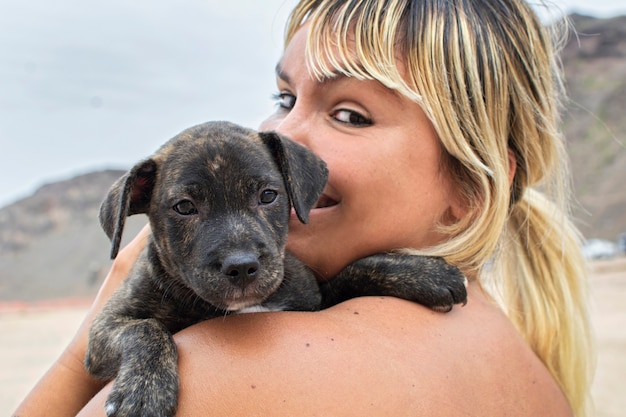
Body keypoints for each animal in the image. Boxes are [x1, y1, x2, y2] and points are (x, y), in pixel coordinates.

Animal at [85, 120, 464, 416]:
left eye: (268, 195)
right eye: (184, 207)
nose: (241, 267)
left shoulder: (312, 299)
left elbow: (354, 270)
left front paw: (425, 274)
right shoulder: (104, 330)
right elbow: (145, 329)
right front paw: (143, 393)